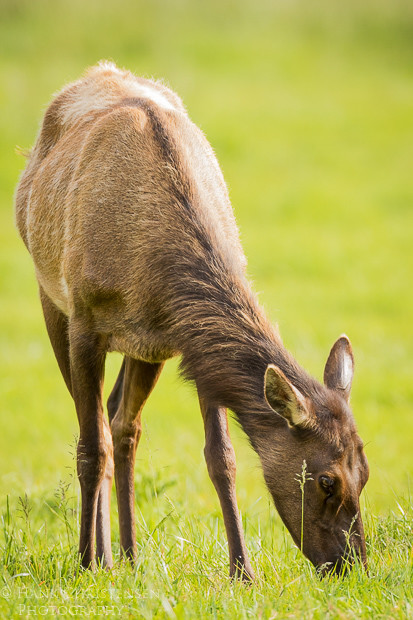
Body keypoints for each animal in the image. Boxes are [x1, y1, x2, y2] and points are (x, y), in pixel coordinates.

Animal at [14, 60, 366, 580]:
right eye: (326, 480)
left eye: (366, 472)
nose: (352, 565)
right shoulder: (83, 320)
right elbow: (89, 447)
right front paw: (85, 563)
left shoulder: (191, 342)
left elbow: (222, 457)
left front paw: (243, 571)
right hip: (51, 295)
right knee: (99, 430)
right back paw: (104, 557)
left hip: (145, 347)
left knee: (124, 424)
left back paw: (130, 553)